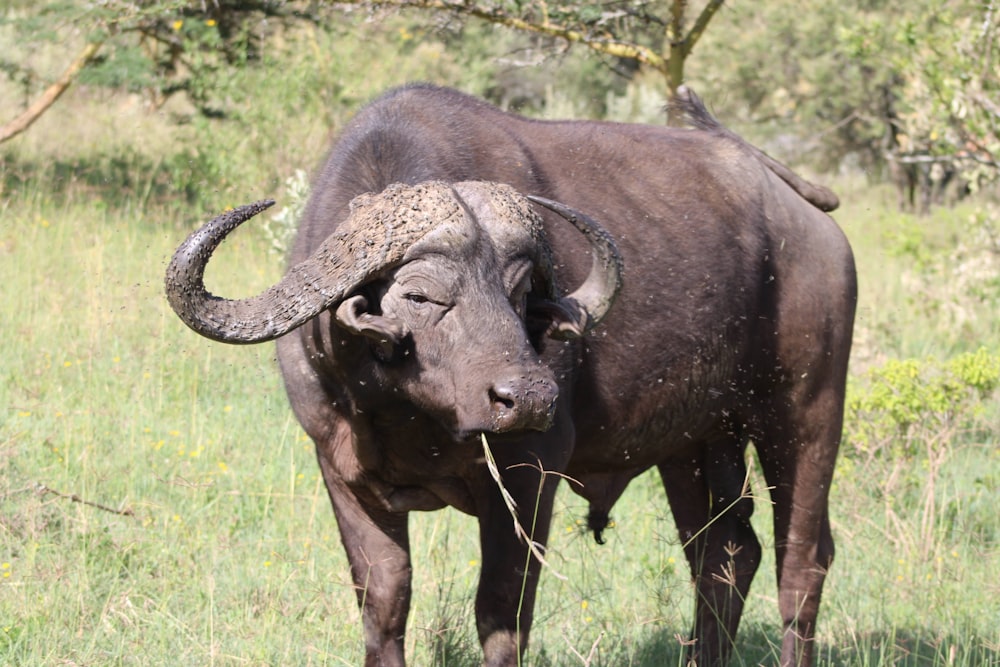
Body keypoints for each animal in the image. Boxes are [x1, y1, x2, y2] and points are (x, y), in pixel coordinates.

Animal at [166, 85, 860, 667]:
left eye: (523, 293)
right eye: (420, 296)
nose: (527, 396)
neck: (407, 414)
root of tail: (804, 213)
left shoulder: (529, 476)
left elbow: (501, 613)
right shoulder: (343, 474)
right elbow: (384, 604)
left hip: (804, 415)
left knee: (802, 563)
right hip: (695, 442)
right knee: (725, 555)